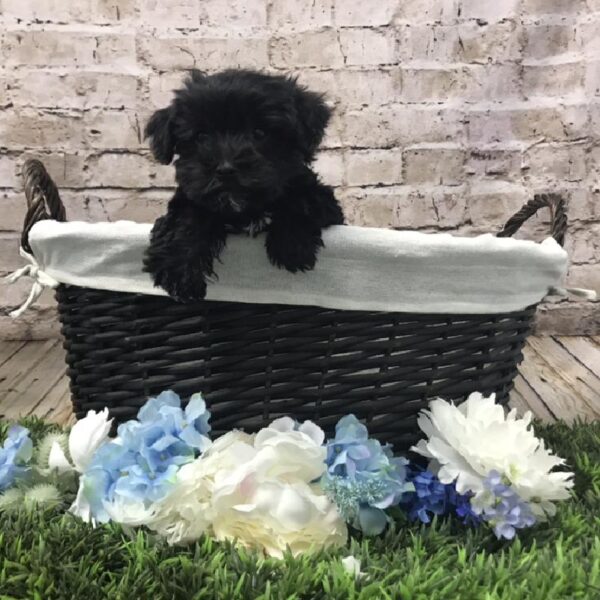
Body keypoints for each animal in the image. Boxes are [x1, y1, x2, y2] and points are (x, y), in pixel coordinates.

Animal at [142, 69, 344, 300]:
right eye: (201, 136)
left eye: (259, 133)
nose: (225, 169)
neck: (246, 207)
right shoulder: (192, 194)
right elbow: (186, 218)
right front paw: (178, 269)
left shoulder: (320, 197)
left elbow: (301, 200)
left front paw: (292, 245)